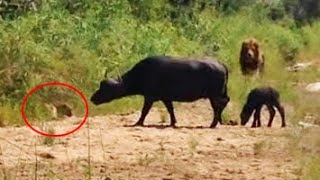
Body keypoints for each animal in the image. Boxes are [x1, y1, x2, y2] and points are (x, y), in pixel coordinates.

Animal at [90, 55, 230, 127]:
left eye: (105, 87)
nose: (92, 98)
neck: (142, 74)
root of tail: (221, 64)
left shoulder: (149, 97)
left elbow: (144, 111)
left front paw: (138, 123)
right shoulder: (166, 98)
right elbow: (170, 110)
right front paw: (173, 122)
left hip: (214, 95)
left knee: (219, 105)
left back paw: (213, 123)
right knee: (224, 102)